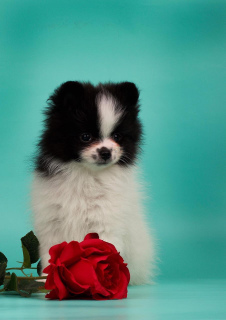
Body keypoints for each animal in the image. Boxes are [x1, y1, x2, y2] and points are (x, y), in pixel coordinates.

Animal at [31, 81, 155, 284]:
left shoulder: (105, 221)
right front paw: (47, 281)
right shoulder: (52, 221)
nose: (106, 152)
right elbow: (51, 253)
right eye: (85, 137)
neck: (87, 174)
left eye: (117, 137)